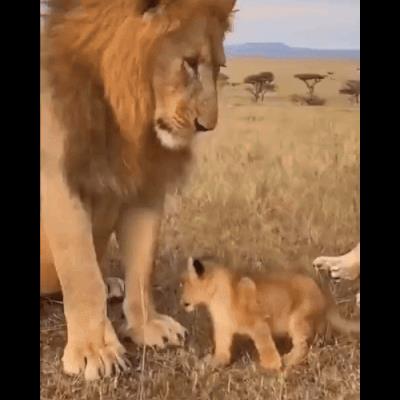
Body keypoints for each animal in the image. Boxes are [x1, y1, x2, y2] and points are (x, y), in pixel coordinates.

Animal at [41, 0, 236, 380]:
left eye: (219, 66)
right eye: (190, 62)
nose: (207, 126)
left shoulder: (146, 185)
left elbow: (143, 266)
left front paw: (147, 326)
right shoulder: (56, 179)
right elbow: (81, 273)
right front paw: (95, 350)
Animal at [180, 257, 359, 371]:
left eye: (185, 283)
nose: (181, 302)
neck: (214, 298)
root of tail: (320, 285)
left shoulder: (258, 324)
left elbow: (265, 345)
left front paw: (271, 366)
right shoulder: (223, 329)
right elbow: (222, 350)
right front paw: (213, 363)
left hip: (298, 319)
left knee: (302, 345)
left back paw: (288, 359)